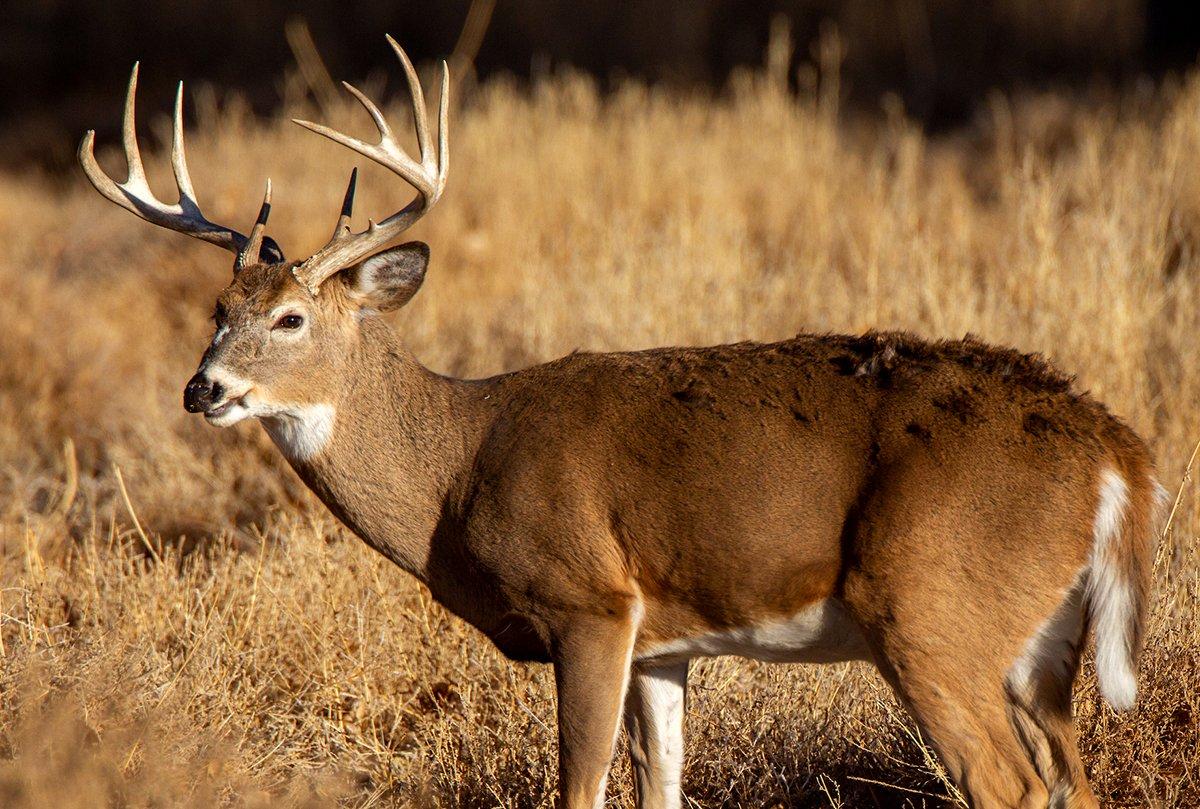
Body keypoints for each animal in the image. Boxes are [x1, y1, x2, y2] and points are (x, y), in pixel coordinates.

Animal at [82, 36, 1161, 806]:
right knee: (1075, 780)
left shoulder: (589, 602)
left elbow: (580, 788)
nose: (204, 389)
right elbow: (663, 789)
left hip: (934, 609)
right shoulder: (665, 642)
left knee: (1010, 784)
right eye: (216, 310)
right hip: (1040, 641)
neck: (457, 466)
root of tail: (1117, 453)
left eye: (291, 318)